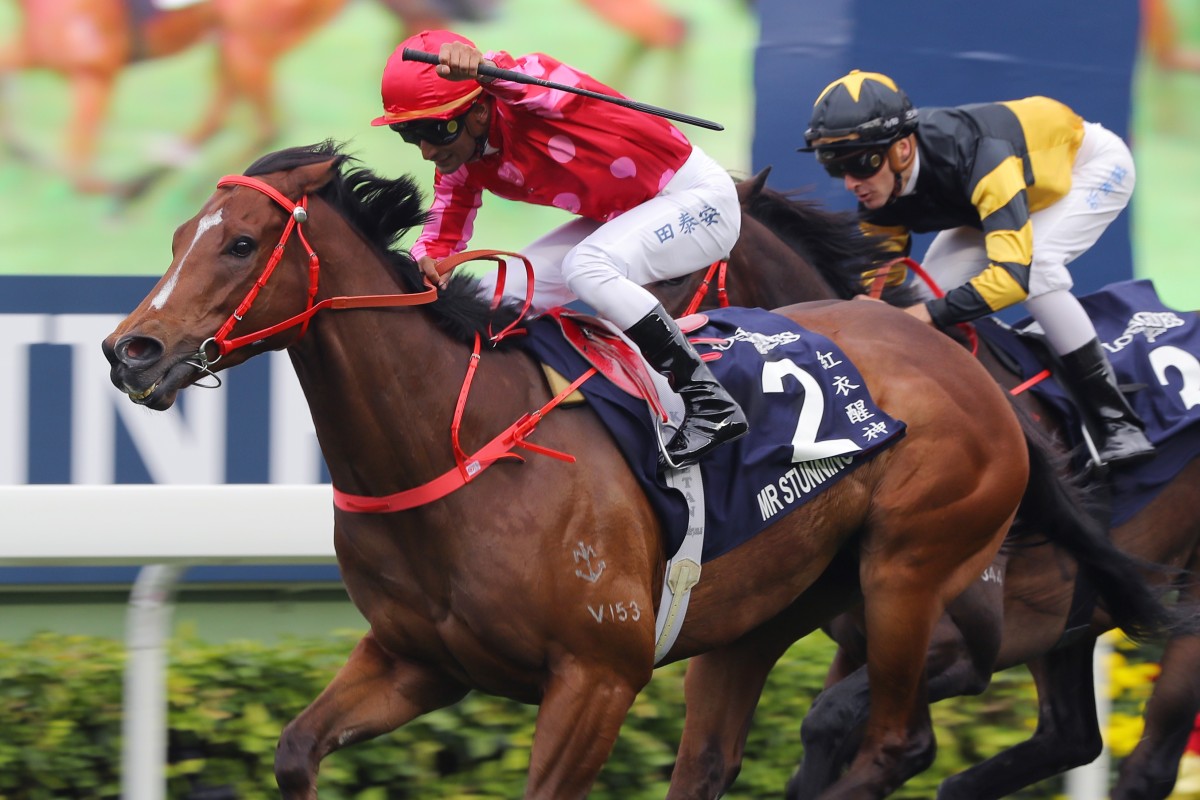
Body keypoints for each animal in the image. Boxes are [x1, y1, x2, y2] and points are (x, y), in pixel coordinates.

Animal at [103, 140, 1142, 796]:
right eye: (178, 239)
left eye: (241, 244)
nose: (130, 351)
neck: (457, 444)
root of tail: (959, 365)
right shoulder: (415, 661)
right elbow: (295, 751)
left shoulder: (595, 677)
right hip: (764, 615)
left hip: (908, 575)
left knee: (894, 742)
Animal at [648, 172, 1200, 800]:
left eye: (674, 272)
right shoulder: (863, 635)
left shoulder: (957, 648)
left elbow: (837, 721)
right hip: (1067, 625)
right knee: (1072, 737)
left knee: (1149, 761)